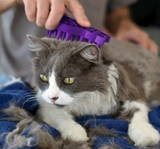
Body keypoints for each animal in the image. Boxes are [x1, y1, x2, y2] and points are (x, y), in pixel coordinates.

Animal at [27, 34, 160, 147]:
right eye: (43, 77)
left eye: (69, 80)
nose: (52, 98)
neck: (85, 95)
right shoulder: (45, 105)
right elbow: (59, 116)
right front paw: (77, 134)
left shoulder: (131, 92)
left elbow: (138, 112)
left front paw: (147, 136)